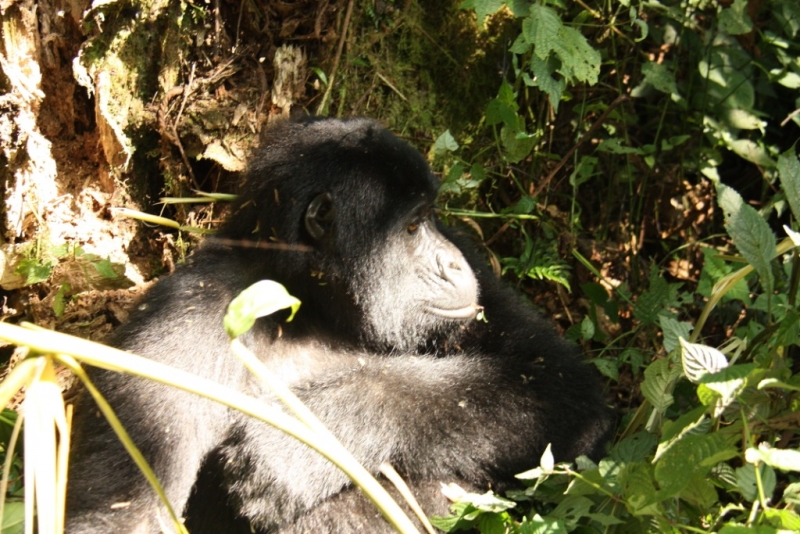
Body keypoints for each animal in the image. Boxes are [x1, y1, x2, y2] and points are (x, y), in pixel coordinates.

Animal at [67, 118, 612, 534]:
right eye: (412, 226)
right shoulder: (178, 323)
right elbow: (123, 512)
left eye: (432, 219)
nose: (453, 263)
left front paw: (317, 434)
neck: (309, 304)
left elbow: (554, 382)